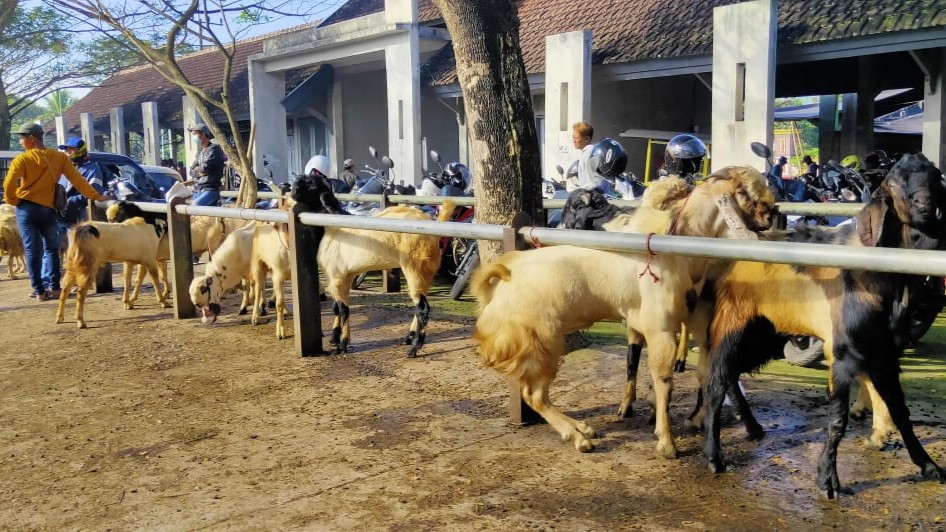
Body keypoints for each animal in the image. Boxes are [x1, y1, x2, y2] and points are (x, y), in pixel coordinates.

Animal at [292, 175, 454, 358]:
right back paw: (410, 337)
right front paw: (335, 337)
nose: (293, 189)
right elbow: (337, 307)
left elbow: (344, 309)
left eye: (312, 185)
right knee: (419, 305)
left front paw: (342, 344)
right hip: (425, 271)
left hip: (415, 269)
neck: (330, 226)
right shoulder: (344, 276)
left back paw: (414, 348)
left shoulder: (337, 275)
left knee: (422, 308)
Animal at [472, 167, 776, 458]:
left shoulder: (696, 323)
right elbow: (664, 381)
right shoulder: (660, 328)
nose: (772, 215)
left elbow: (701, 372)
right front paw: (666, 443)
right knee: (533, 394)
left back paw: (582, 429)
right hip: (539, 346)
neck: (681, 246)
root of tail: (502, 278)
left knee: (538, 395)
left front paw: (694, 421)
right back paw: (579, 438)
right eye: (747, 194)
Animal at [700, 153, 944, 498]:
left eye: (936, 177)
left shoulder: (883, 353)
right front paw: (827, 481)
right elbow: (838, 419)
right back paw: (714, 457)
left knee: (732, 374)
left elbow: (900, 411)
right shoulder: (842, 353)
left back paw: (753, 427)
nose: (925, 205)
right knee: (717, 380)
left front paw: (929, 466)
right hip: (735, 323)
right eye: (894, 184)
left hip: (765, 333)